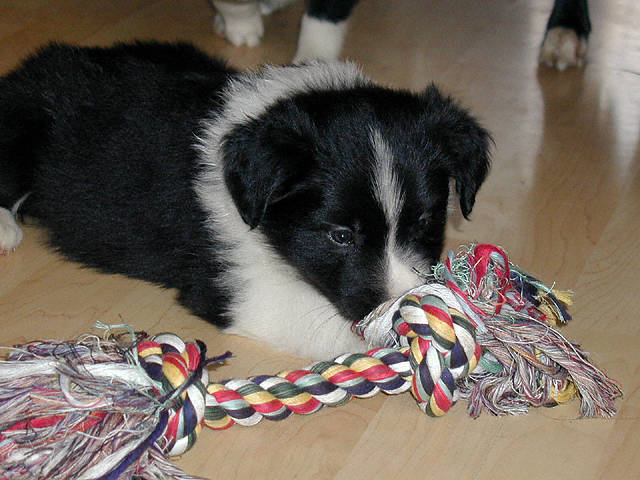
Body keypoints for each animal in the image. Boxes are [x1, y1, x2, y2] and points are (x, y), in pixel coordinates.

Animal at [0, 41, 490, 359]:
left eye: (425, 221)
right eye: (340, 236)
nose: (398, 305)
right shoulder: (234, 285)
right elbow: (327, 327)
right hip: (26, 119)